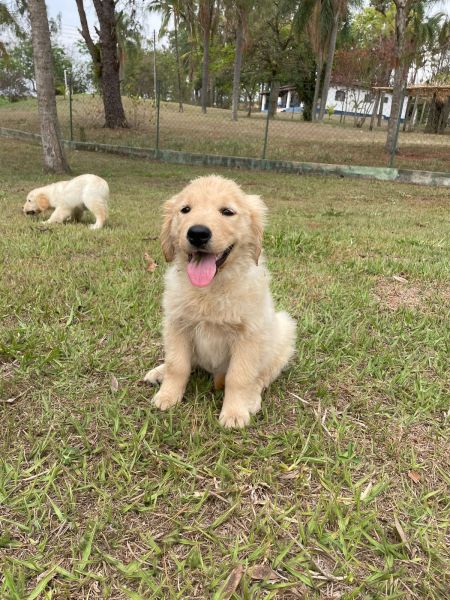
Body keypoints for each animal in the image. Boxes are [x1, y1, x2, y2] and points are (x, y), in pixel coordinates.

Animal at [144, 173, 298, 426]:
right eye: (185, 209)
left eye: (227, 211)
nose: (197, 233)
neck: (211, 288)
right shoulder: (176, 324)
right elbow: (178, 365)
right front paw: (167, 395)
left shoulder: (249, 335)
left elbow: (239, 376)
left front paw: (235, 412)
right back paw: (159, 372)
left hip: (283, 331)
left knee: (263, 375)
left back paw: (252, 398)